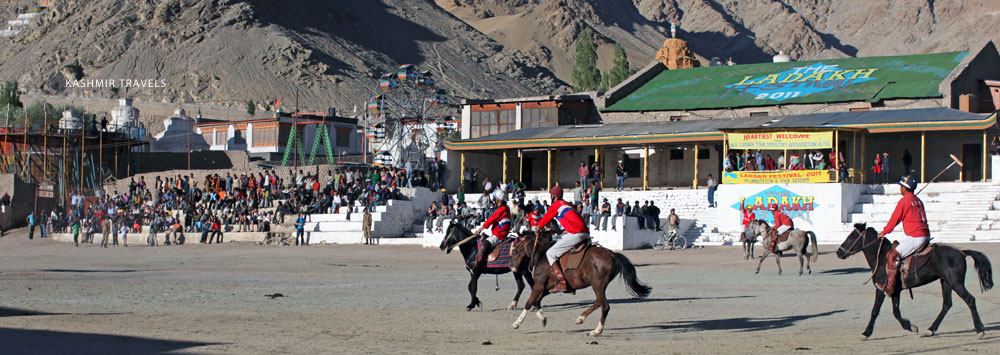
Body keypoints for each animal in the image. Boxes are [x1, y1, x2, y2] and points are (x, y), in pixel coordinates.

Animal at [508, 232, 648, 338]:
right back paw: (581, 318)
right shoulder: (546, 288)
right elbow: (536, 301)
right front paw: (542, 319)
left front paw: (517, 323)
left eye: (516, 249)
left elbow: (529, 302)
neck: (542, 254)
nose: (511, 266)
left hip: (597, 285)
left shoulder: (539, 285)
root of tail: (612, 254)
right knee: (599, 302)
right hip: (599, 286)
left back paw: (596, 331)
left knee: (605, 306)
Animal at [836, 224, 992, 340]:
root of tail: (962, 252)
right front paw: (910, 326)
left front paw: (866, 333)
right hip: (946, 282)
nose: (839, 252)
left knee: (970, 299)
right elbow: (896, 312)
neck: (881, 259)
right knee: (947, 304)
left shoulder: (881, 289)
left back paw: (979, 330)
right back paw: (930, 330)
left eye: (851, 236)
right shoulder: (895, 291)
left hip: (956, 283)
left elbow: (875, 311)